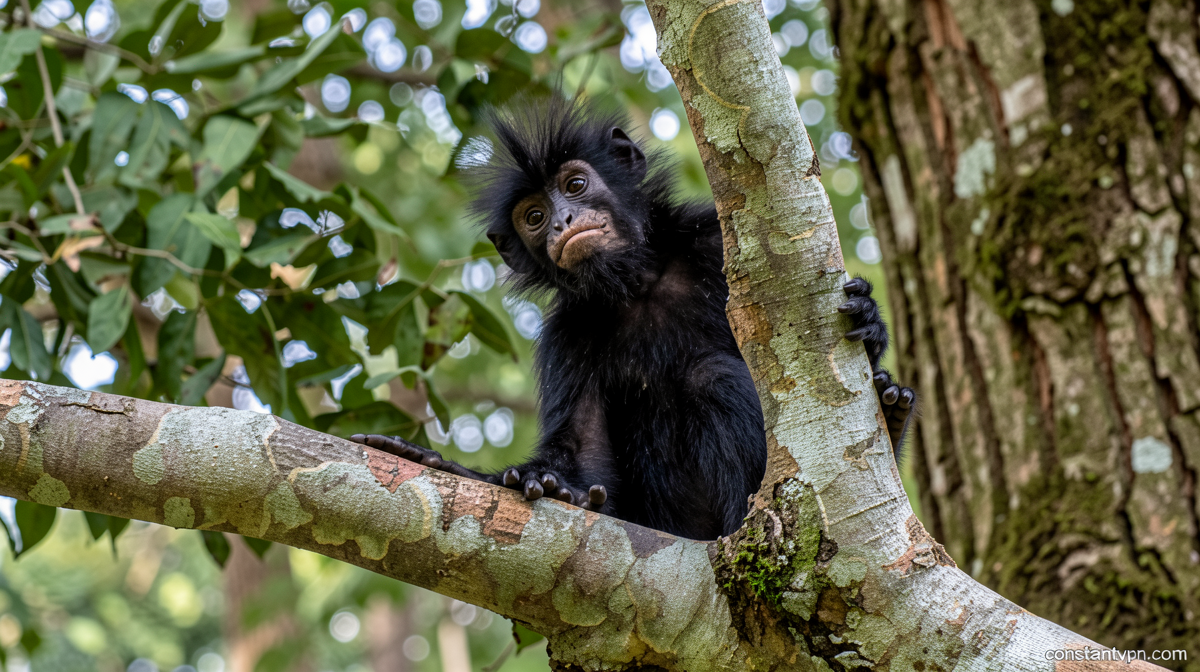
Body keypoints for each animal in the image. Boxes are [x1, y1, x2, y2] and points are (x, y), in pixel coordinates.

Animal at [351, 99, 914, 540]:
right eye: (533, 217)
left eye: (576, 184)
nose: (562, 221)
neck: (639, 284)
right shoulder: (567, 335)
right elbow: (582, 451)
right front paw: (503, 476)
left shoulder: (713, 241)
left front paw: (869, 321)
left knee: (712, 376)